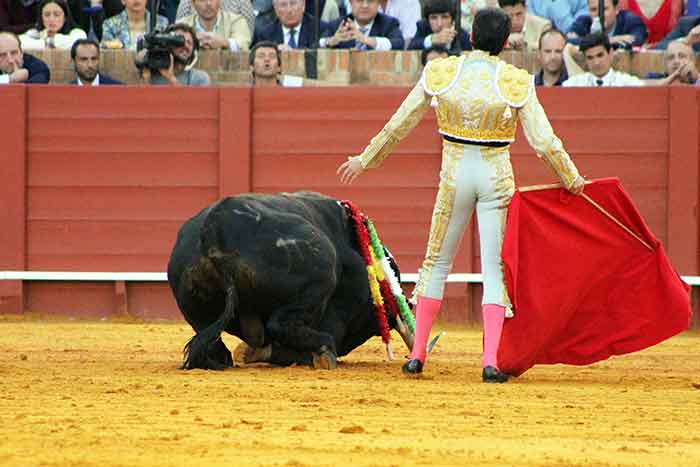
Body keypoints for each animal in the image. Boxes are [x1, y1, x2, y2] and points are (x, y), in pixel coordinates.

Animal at [166, 192, 412, 372]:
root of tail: (216, 225)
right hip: (321, 273)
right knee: (281, 325)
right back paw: (323, 351)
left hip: (195, 309)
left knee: (212, 342)